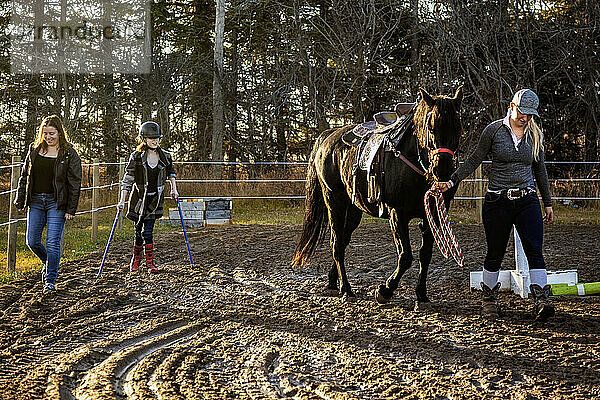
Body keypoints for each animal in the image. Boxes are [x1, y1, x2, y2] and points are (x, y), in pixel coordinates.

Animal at [290, 87, 464, 304]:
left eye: (458, 127)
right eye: (430, 127)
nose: (444, 169)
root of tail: (328, 136)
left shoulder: (432, 214)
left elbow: (425, 254)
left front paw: (421, 294)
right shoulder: (397, 214)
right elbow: (405, 257)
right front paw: (385, 290)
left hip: (353, 209)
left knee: (343, 241)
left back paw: (333, 281)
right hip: (334, 200)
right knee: (337, 243)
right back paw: (346, 288)